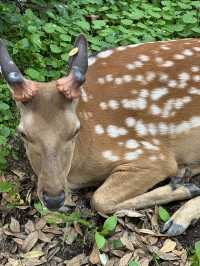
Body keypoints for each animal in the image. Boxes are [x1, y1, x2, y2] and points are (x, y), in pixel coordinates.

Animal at [0, 34, 200, 236]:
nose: (54, 199)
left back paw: (179, 215)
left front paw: (184, 186)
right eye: (23, 133)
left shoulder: (151, 155)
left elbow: (99, 200)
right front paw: (183, 182)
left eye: (75, 130)